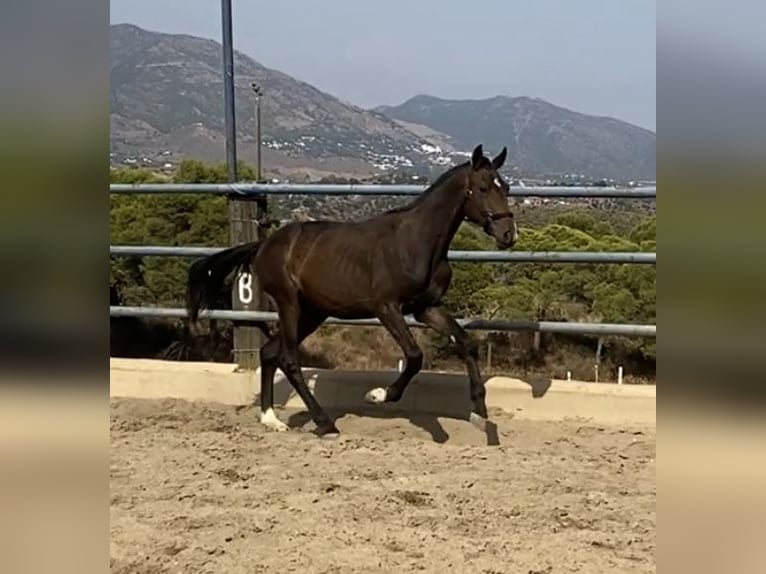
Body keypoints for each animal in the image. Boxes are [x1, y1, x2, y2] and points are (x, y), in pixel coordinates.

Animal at [187, 144, 517, 439]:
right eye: (483, 188)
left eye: (506, 187)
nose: (508, 235)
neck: (416, 242)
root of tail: (264, 245)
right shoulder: (386, 307)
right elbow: (414, 356)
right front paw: (378, 395)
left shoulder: (427, 307)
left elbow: (467, 343)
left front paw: (479, 414)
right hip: (289, 304)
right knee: (288, 359)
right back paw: (325, 424)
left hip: (314, 312)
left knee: (269, 353)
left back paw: (271, 419)